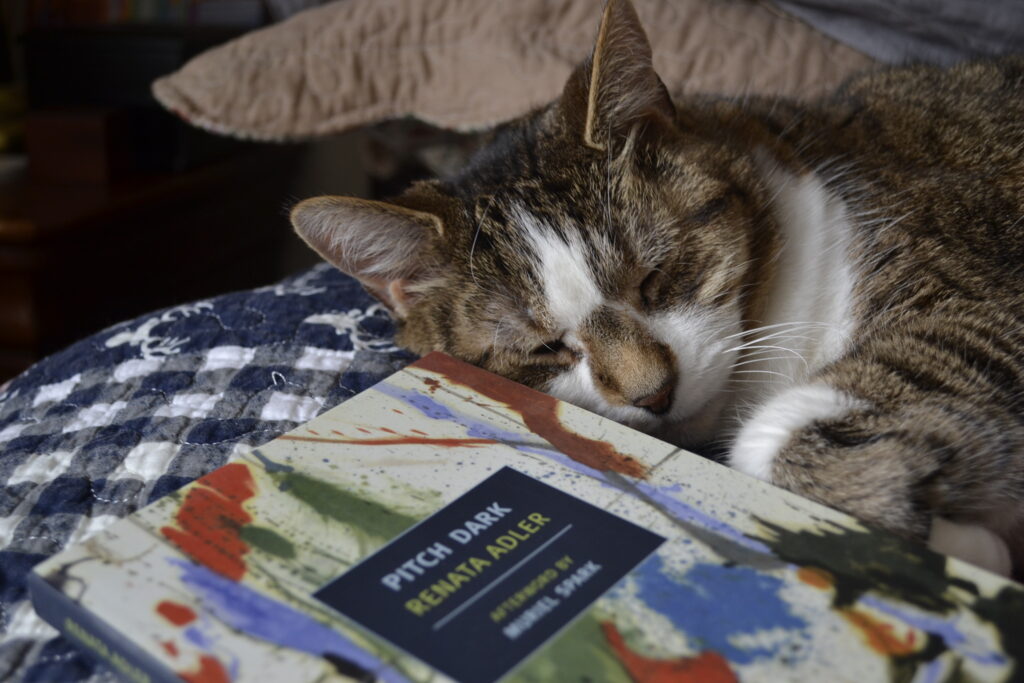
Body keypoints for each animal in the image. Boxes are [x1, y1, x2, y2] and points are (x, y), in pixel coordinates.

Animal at [290, 0, 1024, 573]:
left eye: (659, 275)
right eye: (543, 349)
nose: (655, 392)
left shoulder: (966, 289)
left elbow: (767, 443)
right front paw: (965, 541)